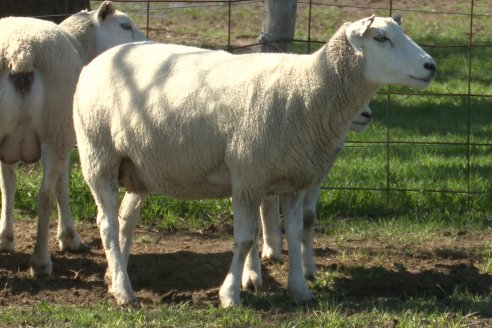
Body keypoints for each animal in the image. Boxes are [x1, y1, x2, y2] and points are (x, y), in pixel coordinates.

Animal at [0, 0, 145, 280]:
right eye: (125, 26)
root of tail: (20, 52)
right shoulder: (68, 135)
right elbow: (61, 186)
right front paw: (69, 238)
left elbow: (8, 185)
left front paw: (6, 238)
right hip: (55, 127)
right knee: (45, 194)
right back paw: (41, 262)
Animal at [73, 14, 434, 308]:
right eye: (380, 38)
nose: (431, 66)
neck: (308, 89)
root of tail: (100, 59)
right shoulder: (248, 175)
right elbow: (246, 239)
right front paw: (230, 294)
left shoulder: (294, 180)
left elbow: (294, 232)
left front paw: (300, 289)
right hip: (98, 156)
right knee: (106, 223)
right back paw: (124, 292)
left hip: (137, 167)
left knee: (123, 219)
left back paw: (114, 277)